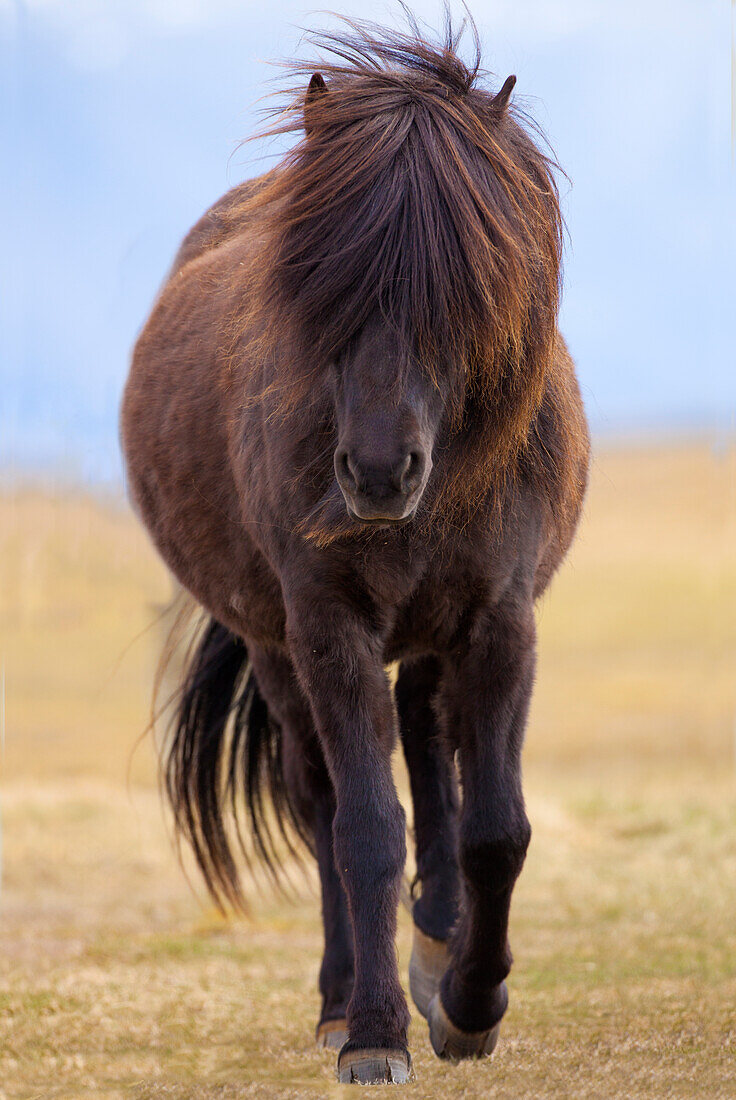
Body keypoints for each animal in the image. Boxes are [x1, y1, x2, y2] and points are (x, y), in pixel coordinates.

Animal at [123, 12, 589, 1086]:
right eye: (321, 282)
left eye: (468, 282)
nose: (378, 473)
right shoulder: (327, 626)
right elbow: (366, 827)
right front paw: (376, 1030)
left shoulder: (501, 622)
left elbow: (494, 828)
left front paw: (469, 1003)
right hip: (277, 649)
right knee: (322, 801)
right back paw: (342, 1001)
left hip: (428, 639)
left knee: (429, 751)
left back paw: (438, 942)